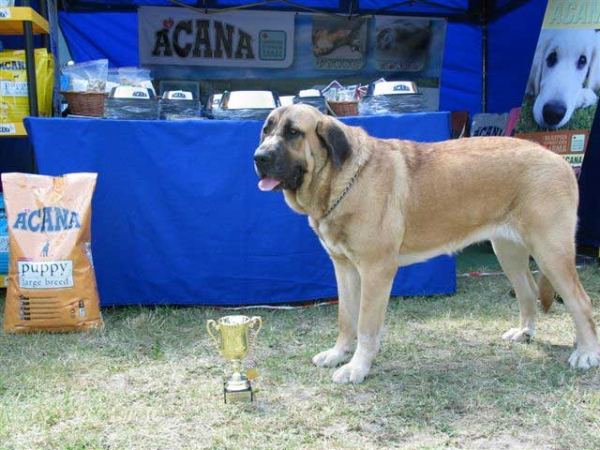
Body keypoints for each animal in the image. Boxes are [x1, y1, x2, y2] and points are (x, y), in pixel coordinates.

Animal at [251, 103, 596, 384]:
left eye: (293, 132)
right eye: (266, 130)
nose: (259, 157)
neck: (342, 180)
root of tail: (561, 161)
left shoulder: (376, 271)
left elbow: (365, 325)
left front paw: (357, 368)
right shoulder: (344, 268)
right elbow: (346, 318)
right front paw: (338, 354)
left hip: (551, 252)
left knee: (580, 302)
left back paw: (587, 352)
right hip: (507, 251)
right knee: (528, 290)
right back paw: (524, 332)